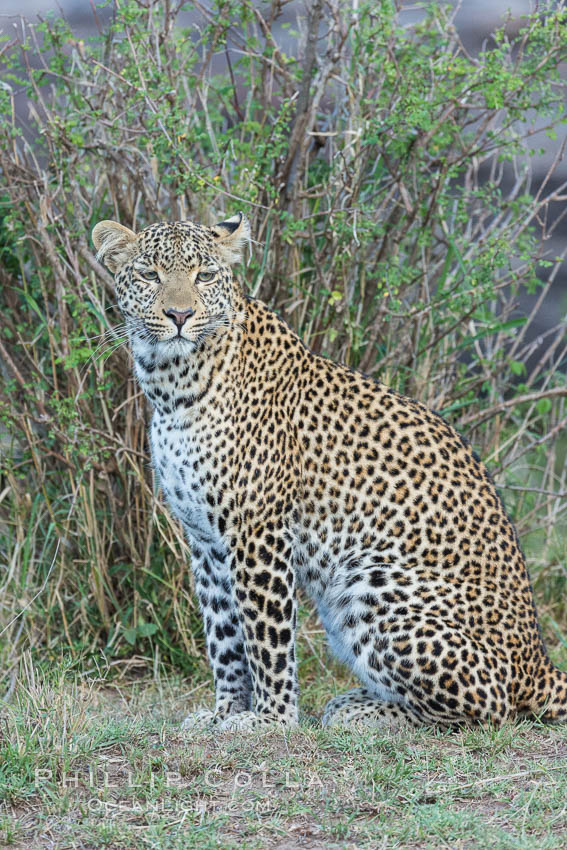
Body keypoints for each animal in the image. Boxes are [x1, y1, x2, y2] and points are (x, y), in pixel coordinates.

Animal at [92, 210, 567, 728]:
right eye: (149, 275)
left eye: (205, 276)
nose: (179, 316)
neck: (172, 383)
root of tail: (538, 663)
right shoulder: (205, 541)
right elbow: (223, 636)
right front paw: (224, 713)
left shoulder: (257, 531)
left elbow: (265, 635)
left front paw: (271, 719)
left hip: (368, 580)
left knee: (490, 706)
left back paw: (363, 712)